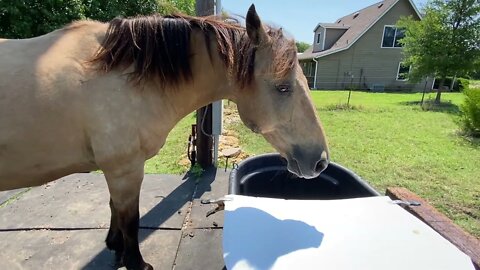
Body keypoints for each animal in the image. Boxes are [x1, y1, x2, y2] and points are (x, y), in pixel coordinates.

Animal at [0, 4, 330, 270]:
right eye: (283, 87)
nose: (321, 162)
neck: (121, 73)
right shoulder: (125, 169)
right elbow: (130, 219)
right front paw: (136, 262)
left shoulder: (117, 170)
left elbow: (115, 209)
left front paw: (115, 247)